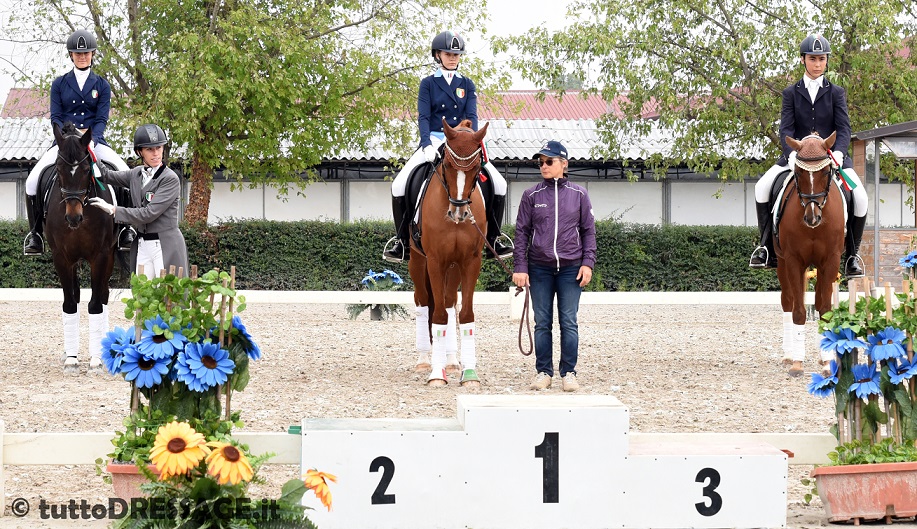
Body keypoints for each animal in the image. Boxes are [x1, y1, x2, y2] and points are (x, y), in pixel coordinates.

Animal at [44, 122, 116, 373]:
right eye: (58, 169)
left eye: (86, 169)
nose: (73, 218)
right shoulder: (61, 258)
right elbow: (69, 304)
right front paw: (72, 359)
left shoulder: (101, 256)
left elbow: (95, 304)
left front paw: (95, 360)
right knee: (75, 296)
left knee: (103, 296)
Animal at [409, 118, 489, 387]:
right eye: (447, 166)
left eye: (477, 168)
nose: (459, 213)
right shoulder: (435, 261)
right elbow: (439, 315)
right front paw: (436, 374)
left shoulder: (471, 261)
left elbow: (465, 314)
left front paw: (470, 374)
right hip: (417, 260)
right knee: (423, 301)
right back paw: (424, 360)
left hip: (453, 266)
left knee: (450, 301)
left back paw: (452, 361)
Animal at [775, 132, 845, 377]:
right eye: (798, 172)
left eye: (826, 172)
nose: (812, 218)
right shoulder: (793, 260)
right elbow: (798, 311)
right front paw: (797, 364)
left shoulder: (830, 261)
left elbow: (824, 310)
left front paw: (827, 363)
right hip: (781, 262)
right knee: (787, 301)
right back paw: (788, 355)